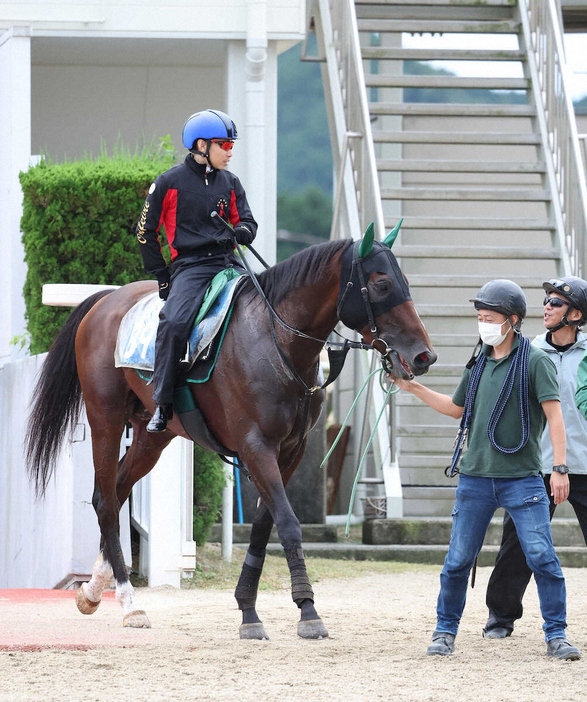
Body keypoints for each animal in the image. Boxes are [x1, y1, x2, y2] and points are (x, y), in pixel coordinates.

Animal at [24, 223, 436, 640]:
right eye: (382, 284)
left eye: (404, 281)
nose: (424, 356)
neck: (276, 341)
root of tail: (106, 300)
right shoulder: (256, 447)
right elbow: (288, 524)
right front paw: (306, 610)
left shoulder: (290, 452)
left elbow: (263, 528)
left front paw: (249, 610)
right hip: (105, 421)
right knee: (106, 501)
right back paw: (129, 603)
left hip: (152, 436)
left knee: (116, 492)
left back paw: (94, 588)